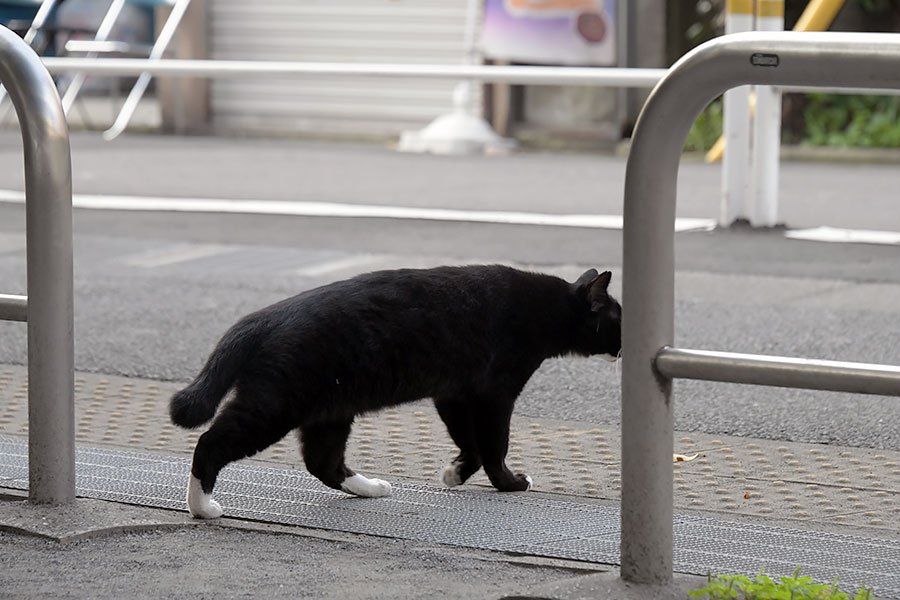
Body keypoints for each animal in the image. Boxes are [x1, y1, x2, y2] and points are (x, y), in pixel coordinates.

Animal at [171, 264, 620, 516]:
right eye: (619, 320)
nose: (625, 346)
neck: (548, 308)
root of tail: (261, 318)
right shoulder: (496, 394)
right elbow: (495, 445)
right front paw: (508, 482)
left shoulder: (454, 392)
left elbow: (468, 441)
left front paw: (456, 472)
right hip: (276, 404)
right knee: (211, 442)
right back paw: (202, 506)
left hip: (331, 410)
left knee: (323, 463)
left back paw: (370, 488)